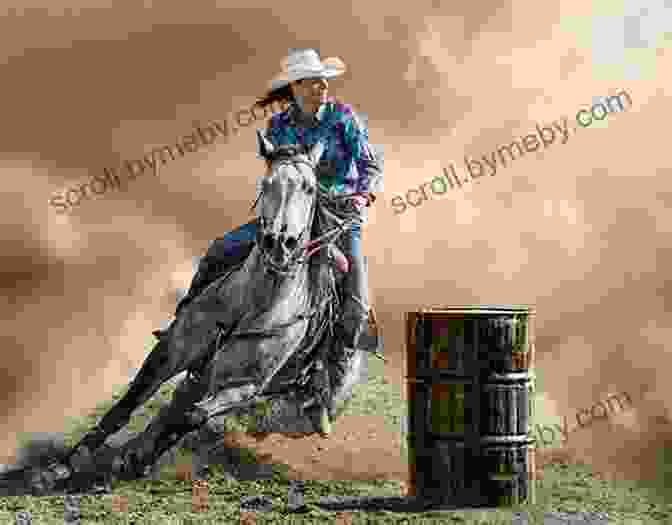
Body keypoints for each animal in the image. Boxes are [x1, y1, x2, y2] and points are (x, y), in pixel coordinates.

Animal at [36, 132, 376, 492]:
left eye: (310, 188)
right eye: (267, 183)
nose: (279, 242)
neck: (253, 303)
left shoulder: (245, 386)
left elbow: (190, 417)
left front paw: (134, 459)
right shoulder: (170, 351)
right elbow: (127, 404)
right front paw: (59, 469)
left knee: (181, 412)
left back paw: (136, 456)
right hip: (204, 372)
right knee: (174, 404)